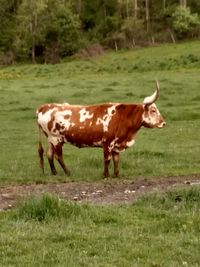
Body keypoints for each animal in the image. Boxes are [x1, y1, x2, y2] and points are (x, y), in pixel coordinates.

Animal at [36, 81, 166, 178]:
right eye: (153, 110)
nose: (163, 123)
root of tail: (44, 107)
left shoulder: (117, 144)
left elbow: (116, 160)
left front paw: (116, 175)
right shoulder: (107, 143)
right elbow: (107, 159)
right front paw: (106, 175)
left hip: (51, 139)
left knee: (49, 154)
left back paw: (54, 173)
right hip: (56, 139)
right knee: (58, 156)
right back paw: (68, 172)